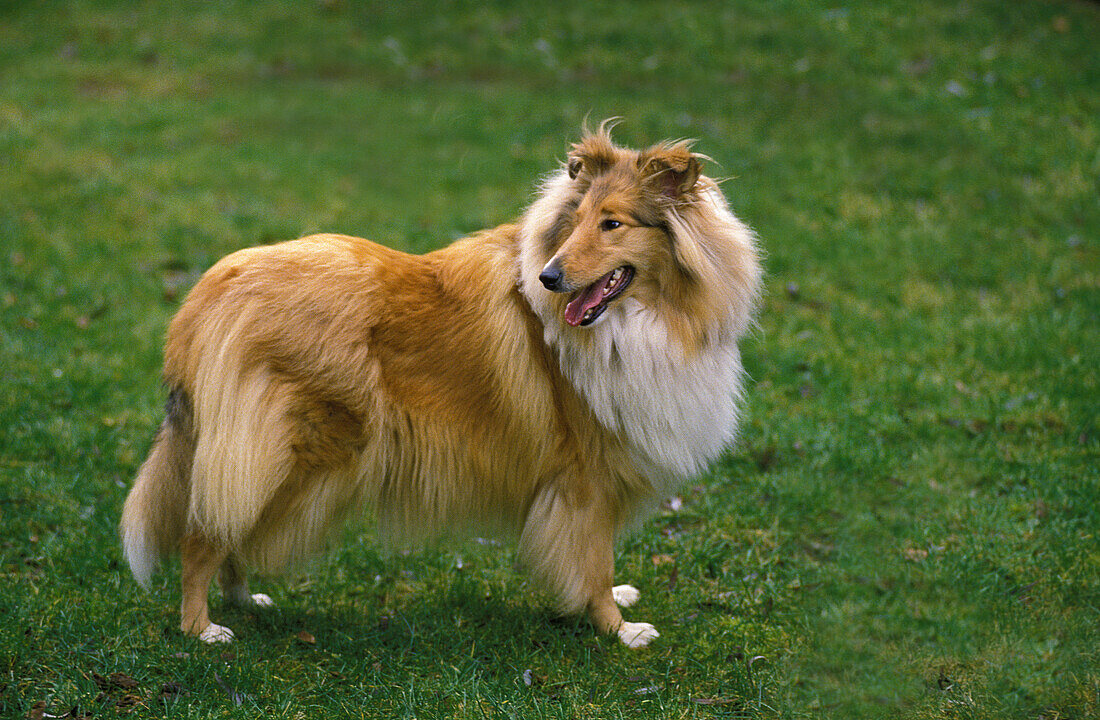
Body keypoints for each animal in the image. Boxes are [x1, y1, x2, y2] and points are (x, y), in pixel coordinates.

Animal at [118, 122, 756, 646]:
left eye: (612, 224)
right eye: (572, 225)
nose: (548, 279)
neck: (648, 317)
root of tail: (207, 294)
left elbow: (598, 559)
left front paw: (615, 604)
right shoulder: (583, 478)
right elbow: (592, 561)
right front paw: (619, 629)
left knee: (226, 525)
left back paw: (245, 600)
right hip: (281, 452)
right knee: (203, 534)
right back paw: (203, 629)